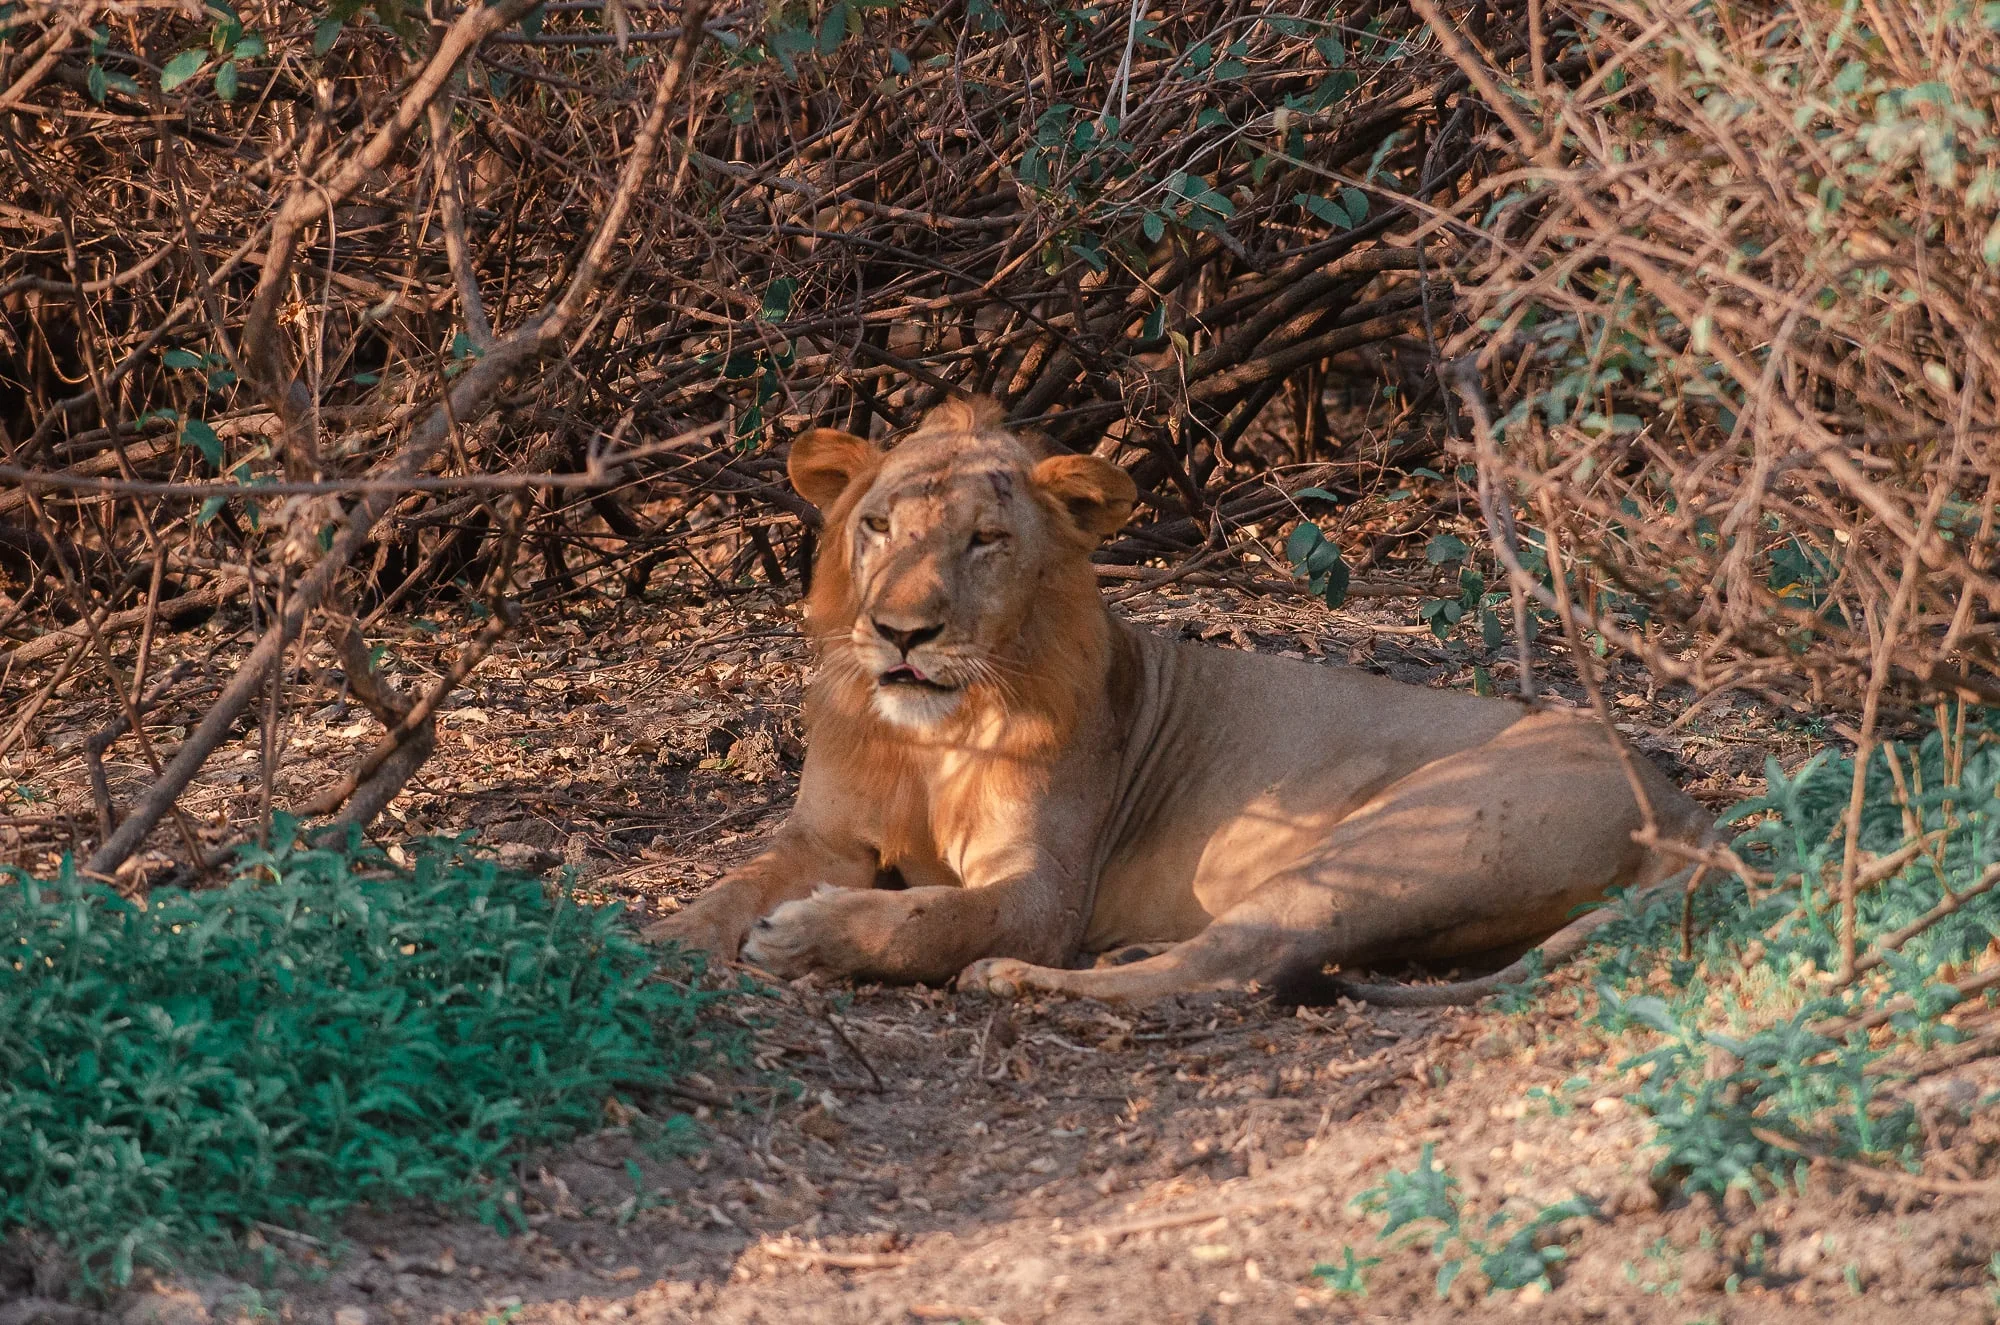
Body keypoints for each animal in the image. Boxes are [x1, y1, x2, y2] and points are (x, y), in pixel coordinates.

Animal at [645, 396, 1711, 1004]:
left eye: (986, 540)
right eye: (875, 526)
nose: (903, 633)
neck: (926, 742)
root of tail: (1684, 806)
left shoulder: (1042, 887)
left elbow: (933, 919)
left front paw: (807, 933)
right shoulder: (824, 835)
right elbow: (730, 883)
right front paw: (651, 938)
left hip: (1395, 843)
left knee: (1238, 964)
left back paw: (1026, 983)